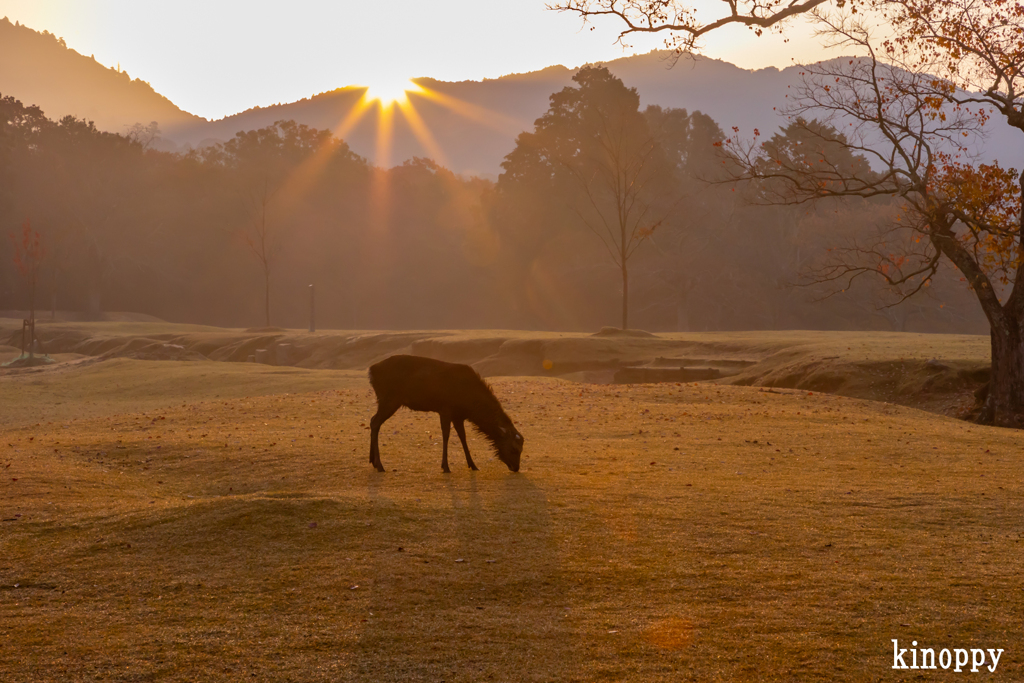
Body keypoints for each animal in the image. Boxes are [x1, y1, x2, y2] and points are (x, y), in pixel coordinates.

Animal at [368, 356, 524, 473]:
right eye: (514, 449)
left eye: (522, 449)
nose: (516, 468)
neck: (470, 405)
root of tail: (371, 371)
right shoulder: (446, 409)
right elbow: (446, 435)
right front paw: (446, 466)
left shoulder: (458, 416)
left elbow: (463, 437)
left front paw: (473, 465)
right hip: (389, 399)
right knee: (375, 422)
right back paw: (380, 465)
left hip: (386, 400)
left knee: (372, 420)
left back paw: (372, 461)